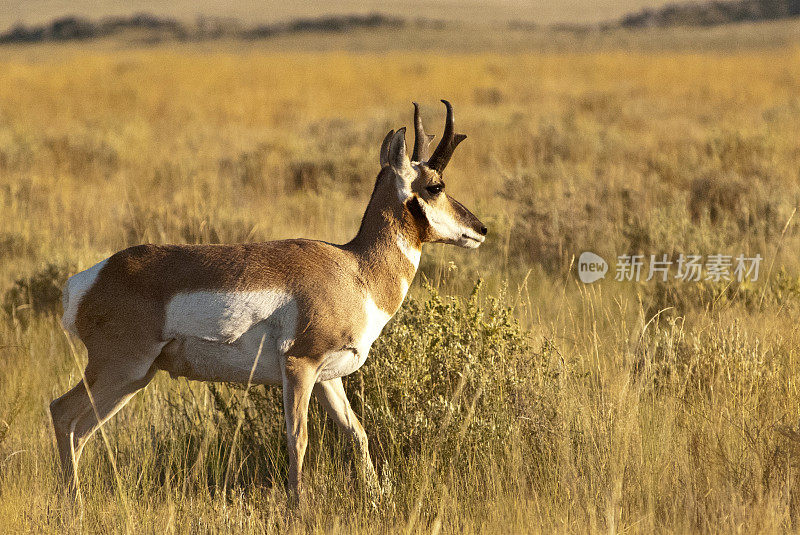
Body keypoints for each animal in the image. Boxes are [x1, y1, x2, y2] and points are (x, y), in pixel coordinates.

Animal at [53, 101, 488, 498]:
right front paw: (300, 505)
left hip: (134, 379)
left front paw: (376, 497)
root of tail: (91, 277)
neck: (355, 268)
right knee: (62, 414)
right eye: (436, 186)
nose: (481, 229)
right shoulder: (299, 366)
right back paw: (73, 504)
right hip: (120, 369)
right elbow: (298, 439)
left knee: (80, 430)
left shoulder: (328, 378)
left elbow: (357, 434)